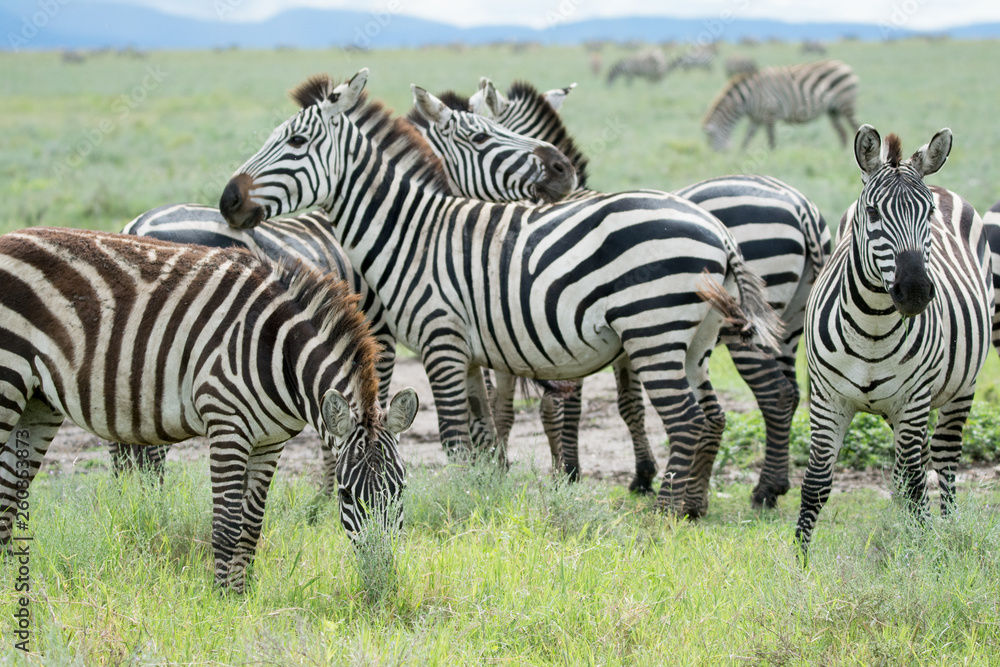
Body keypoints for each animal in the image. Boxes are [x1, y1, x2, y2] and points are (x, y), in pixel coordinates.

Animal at [0, 227, 418, 592]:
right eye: (345, 496)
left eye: (401, 490)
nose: (381, 578)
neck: (278, 352)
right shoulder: (227, 426)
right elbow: (227, 524)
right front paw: (221, 600)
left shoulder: (271, 442)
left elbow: (251, 525)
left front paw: (242, 596)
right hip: (8, 382)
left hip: (38, 403)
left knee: (9, 492)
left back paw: (9, 589)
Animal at [219, 67, 783, 517]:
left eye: (295, 143)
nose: (228, 200)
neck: (410, 230)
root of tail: (717, 231)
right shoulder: (469, 354)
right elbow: (485, 435)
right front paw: (483, 496)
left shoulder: (440, 340)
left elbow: (453, 438)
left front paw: (453, 508)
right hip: (695, 339)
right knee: (710, 417)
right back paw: (694, 507)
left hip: (652, 331)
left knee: (686, 420)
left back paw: (664, 516)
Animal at [469, 78, 830, 507]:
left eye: (480, 125)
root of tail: (802, 206)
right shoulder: (617, 341)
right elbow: (629, 405)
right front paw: (642, 474)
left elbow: (568, 404)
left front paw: (569, 471)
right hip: (788, 325)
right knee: (791, 393)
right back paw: (774, 482)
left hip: (745, 329)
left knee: (775, 396)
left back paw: (763, 490)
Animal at [702, 60, 859, 151]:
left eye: (710, 140)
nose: (715, 158)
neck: (748, 98)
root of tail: (844, 65)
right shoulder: (756, 118)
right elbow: (747, 138)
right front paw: (742, 154)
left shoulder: (770, 113)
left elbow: (771, 139)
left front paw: (772, 157)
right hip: (833, 110)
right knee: (843, 134)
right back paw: (842, 153)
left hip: (846, 104)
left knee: (854, 127)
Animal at [795, 126, 993, 558]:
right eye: (872, 213)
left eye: (929, 214)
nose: (916, 291)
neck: (871, 327)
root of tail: (940, 182)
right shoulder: (826, 398)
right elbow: (815, 483)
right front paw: (799, 563)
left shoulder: (913, 398)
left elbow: (918, 484)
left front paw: (924, 555)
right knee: (912, 466)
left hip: (959, 387)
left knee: (942, 458)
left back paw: (947, 529)